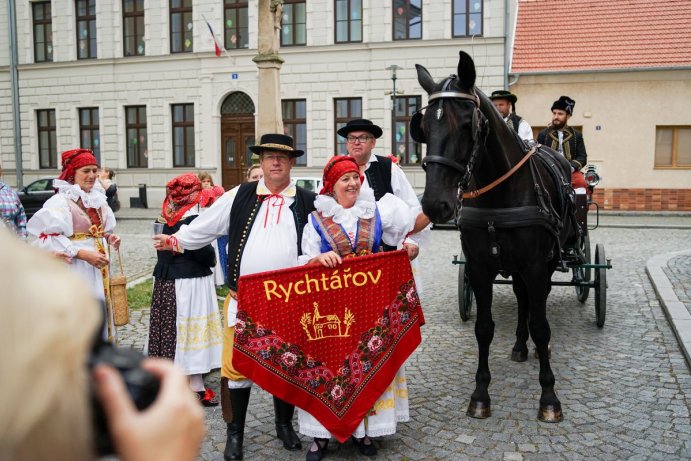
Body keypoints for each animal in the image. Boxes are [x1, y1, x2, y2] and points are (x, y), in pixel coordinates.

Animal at [410, 50, 580, 420]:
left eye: (467, 125)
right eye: (423, 127)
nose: (434, 204)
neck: (501, 197)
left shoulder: (535, 265)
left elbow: (541, 325)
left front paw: (549, 397)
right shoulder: (480, 267)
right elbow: (484, 328)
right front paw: (480, 394)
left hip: (546, 262)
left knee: (535, 303)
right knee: (521, 299)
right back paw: (519, 345)